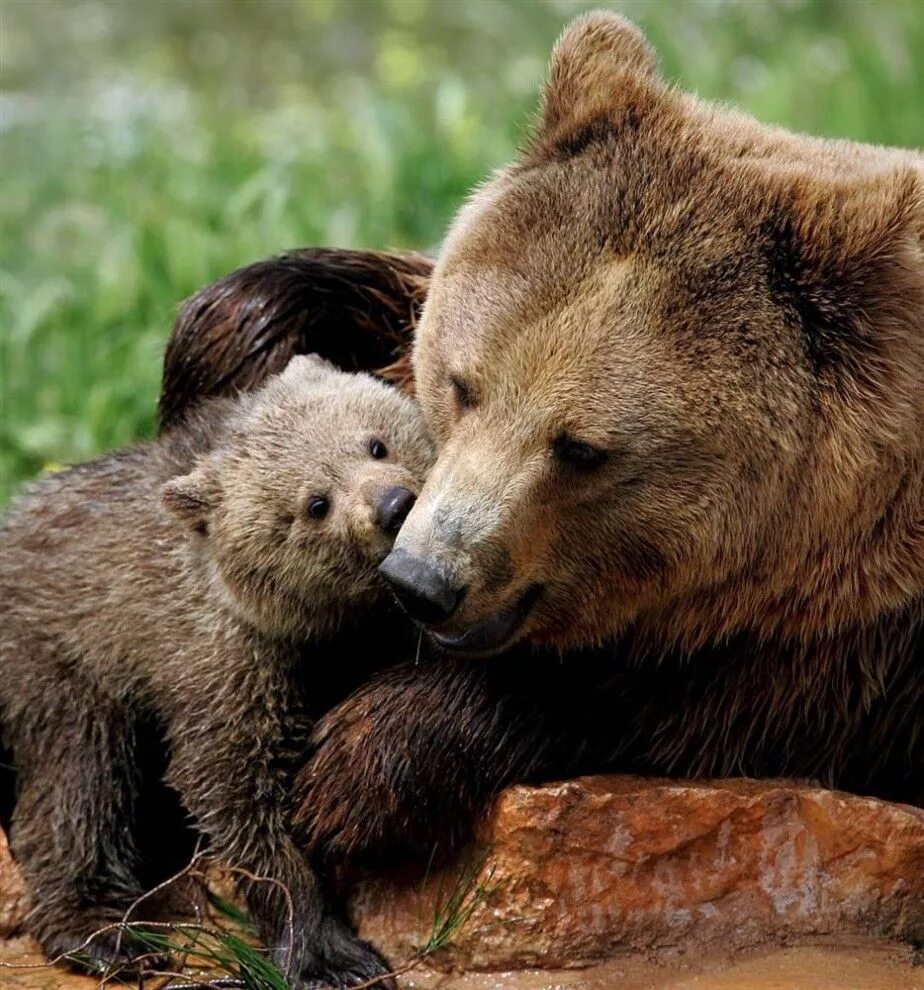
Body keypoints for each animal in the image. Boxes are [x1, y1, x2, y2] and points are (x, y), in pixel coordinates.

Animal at [162, 13, 920, 876]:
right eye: (464, 384)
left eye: (582, 449)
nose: (422, 578)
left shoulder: (851, 654)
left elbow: (661, 695)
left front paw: (351, 771)